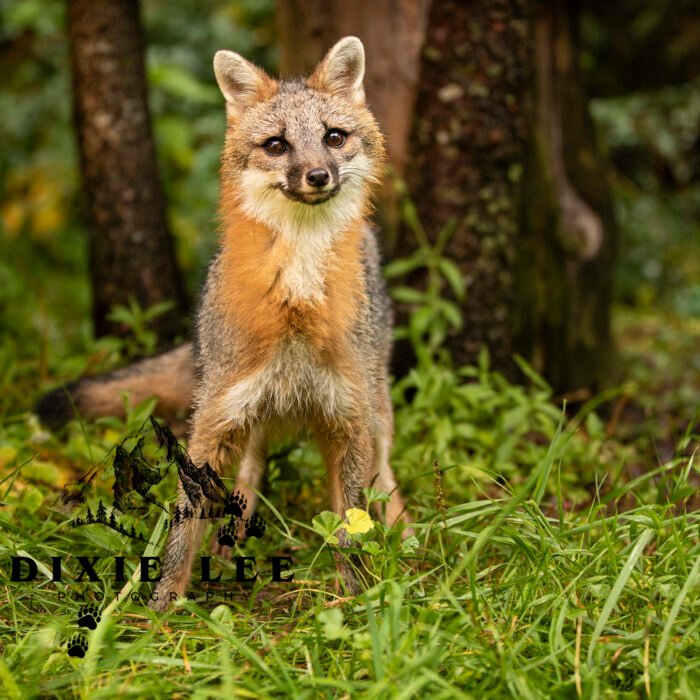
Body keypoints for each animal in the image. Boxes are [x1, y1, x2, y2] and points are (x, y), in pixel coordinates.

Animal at [36, 36, 406, 610]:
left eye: (334, 137)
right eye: (277, 145)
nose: (318, 176)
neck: (296, 296)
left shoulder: (349, 419)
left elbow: (351, 523)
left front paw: (353, 598)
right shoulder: (215, 419)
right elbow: (181, 528)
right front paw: (161, 609)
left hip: (374, 409)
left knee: (383, 471)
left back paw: (403, 531)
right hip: (249, 408)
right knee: (251, 468)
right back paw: (234, 536)